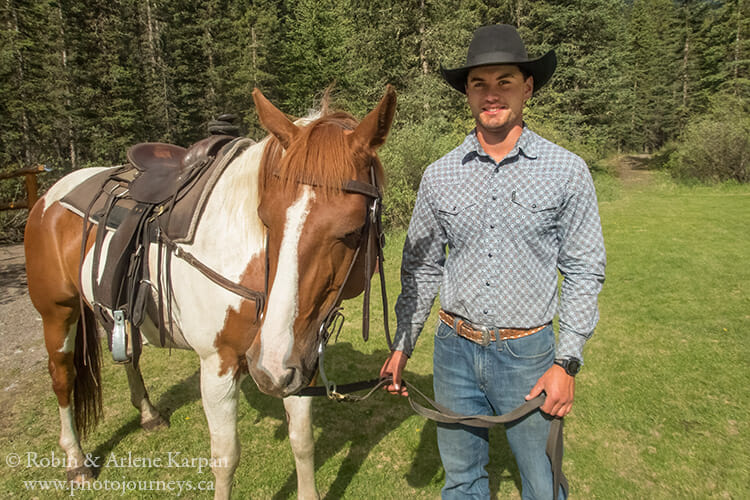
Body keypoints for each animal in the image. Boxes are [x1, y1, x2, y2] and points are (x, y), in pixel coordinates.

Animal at [22, 87, 400, 500]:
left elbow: (302, 441)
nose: (268, 368)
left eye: (352, 231)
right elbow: (226, 457)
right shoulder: (219, 365)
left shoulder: (297, 363)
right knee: (62, 378)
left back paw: (149, 414)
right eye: (266, 218)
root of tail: (50, 196)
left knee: (129, 355)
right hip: (57, 313)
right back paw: (75, 460)